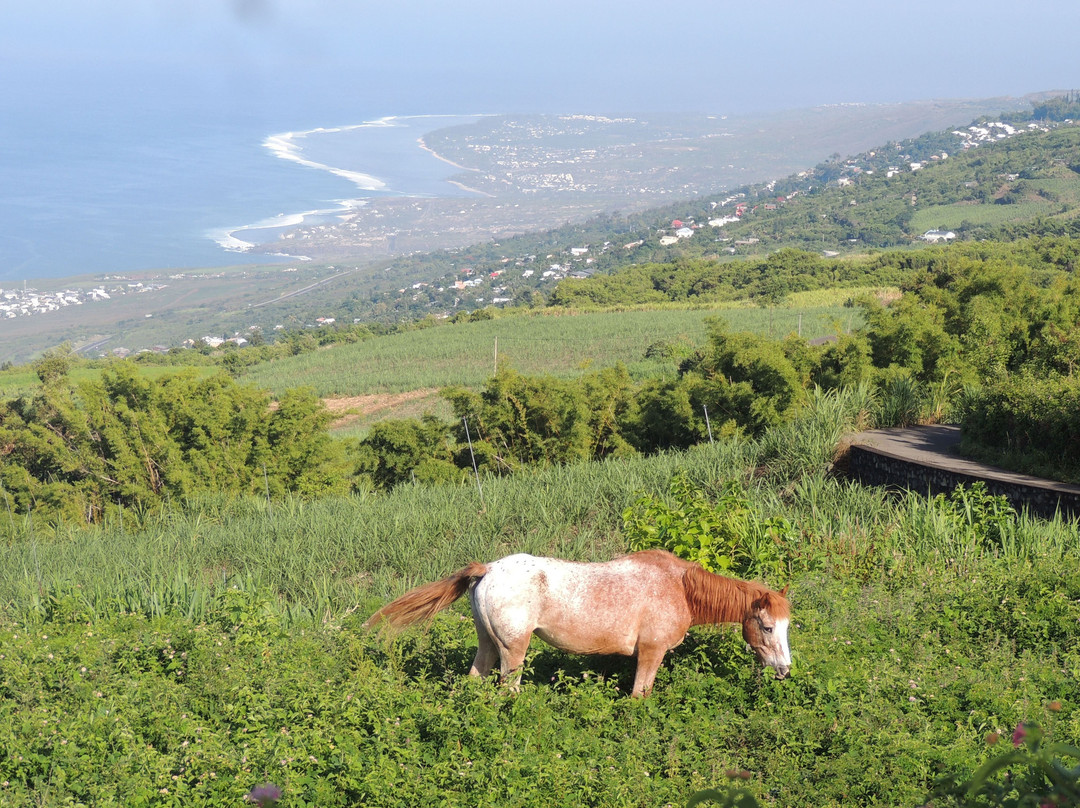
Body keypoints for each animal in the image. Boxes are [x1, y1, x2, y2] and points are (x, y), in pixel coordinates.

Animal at [367, 548, 790, 695]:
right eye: (768, 627)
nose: (785, 669)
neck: (679, 587)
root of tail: (488, 569)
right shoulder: (651, 652)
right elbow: (639, 695)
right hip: (513, 652)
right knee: (508, 690)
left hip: (487, 645)